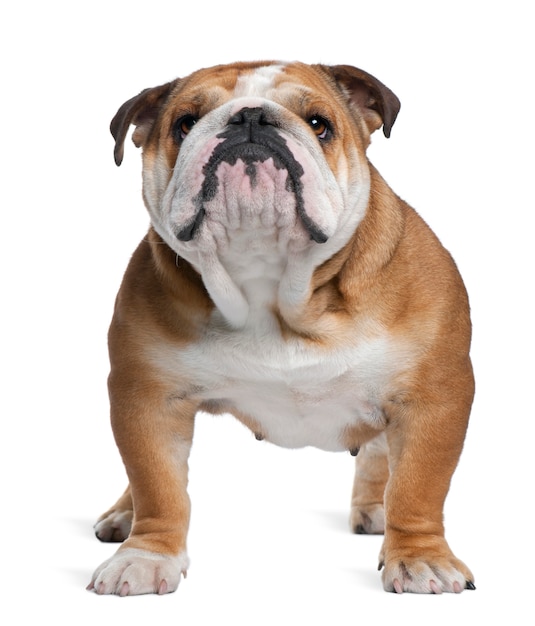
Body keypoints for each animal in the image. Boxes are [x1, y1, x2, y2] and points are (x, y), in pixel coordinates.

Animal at [88, 61, 478, 592]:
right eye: (185, 123)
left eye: (319, 124)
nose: (250, 119)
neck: (273, 290)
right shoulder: (147, 394)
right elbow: (158, 484)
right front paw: (145, 556)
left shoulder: (432, 396)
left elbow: (418, 486)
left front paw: (421, 558)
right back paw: (122, 516)